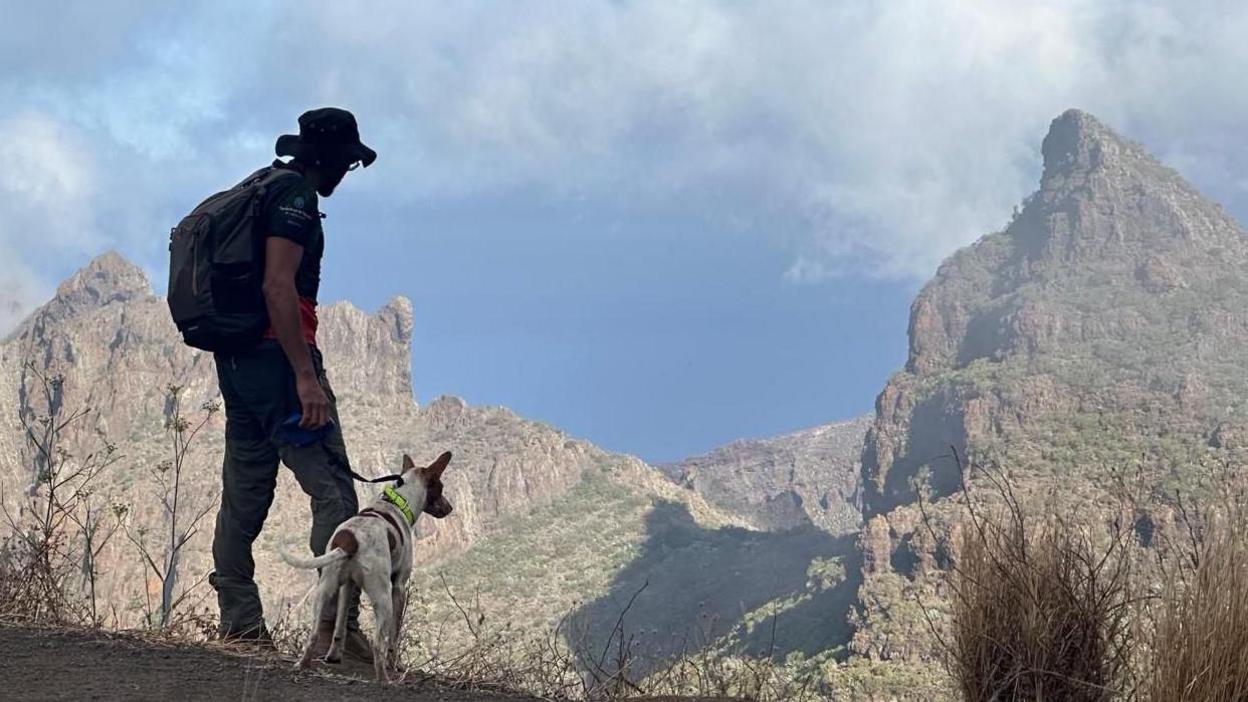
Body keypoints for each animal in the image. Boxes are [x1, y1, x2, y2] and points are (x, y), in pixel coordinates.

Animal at [282, 447, 454, 684]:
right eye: (441, 487)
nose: (450, 508)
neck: (397, 502)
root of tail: (349, 539)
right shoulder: (399, 586)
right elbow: (394, 636)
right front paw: (396, 664)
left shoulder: (347, 586)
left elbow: (340, 626)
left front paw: (334, 656)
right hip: (382, 596)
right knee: (378, 644)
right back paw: (384, 679)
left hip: (324, 590)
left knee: (314, 633)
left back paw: (302, 665)